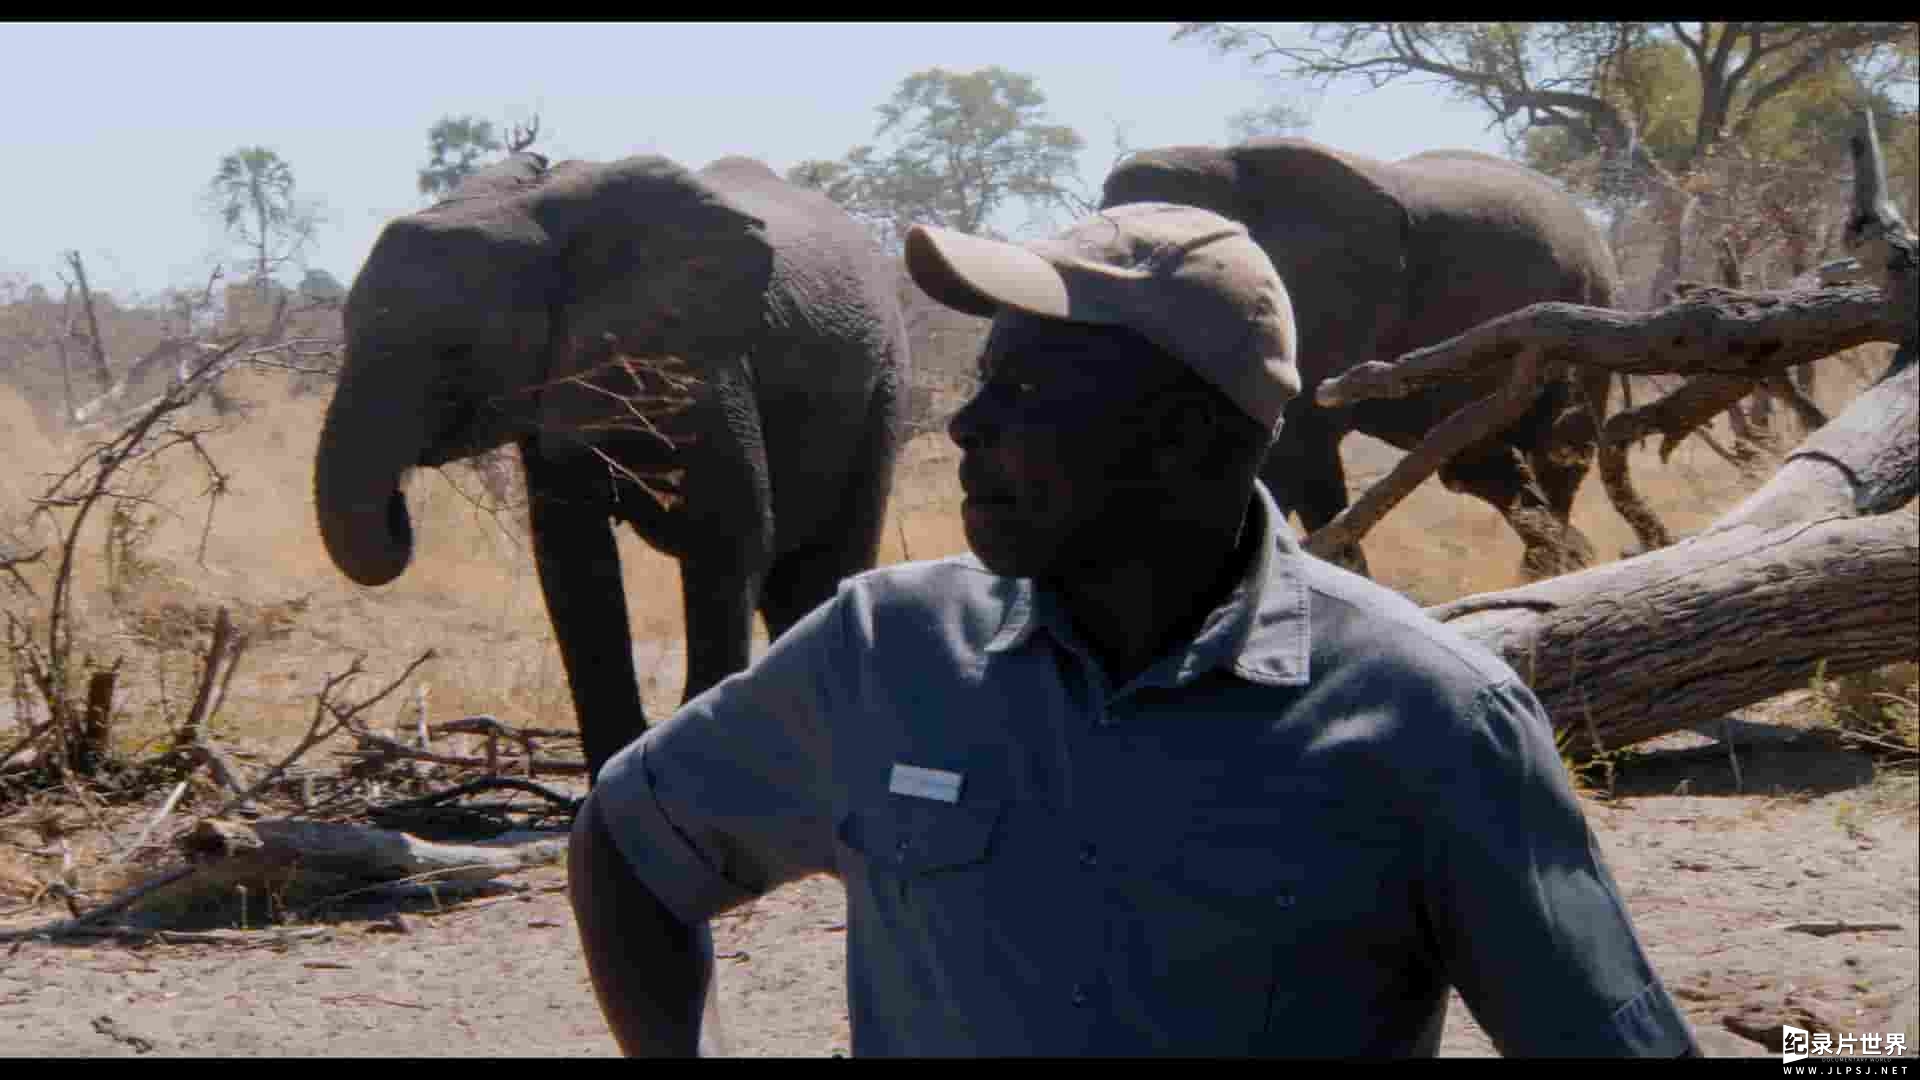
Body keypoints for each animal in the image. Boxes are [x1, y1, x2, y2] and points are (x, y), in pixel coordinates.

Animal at [311, 148, 910, 772]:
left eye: (456, 351)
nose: (400, 510)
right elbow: (573, 559)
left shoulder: (704, 366)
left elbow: (729, 538)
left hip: (886, 383)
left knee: (834, 555)